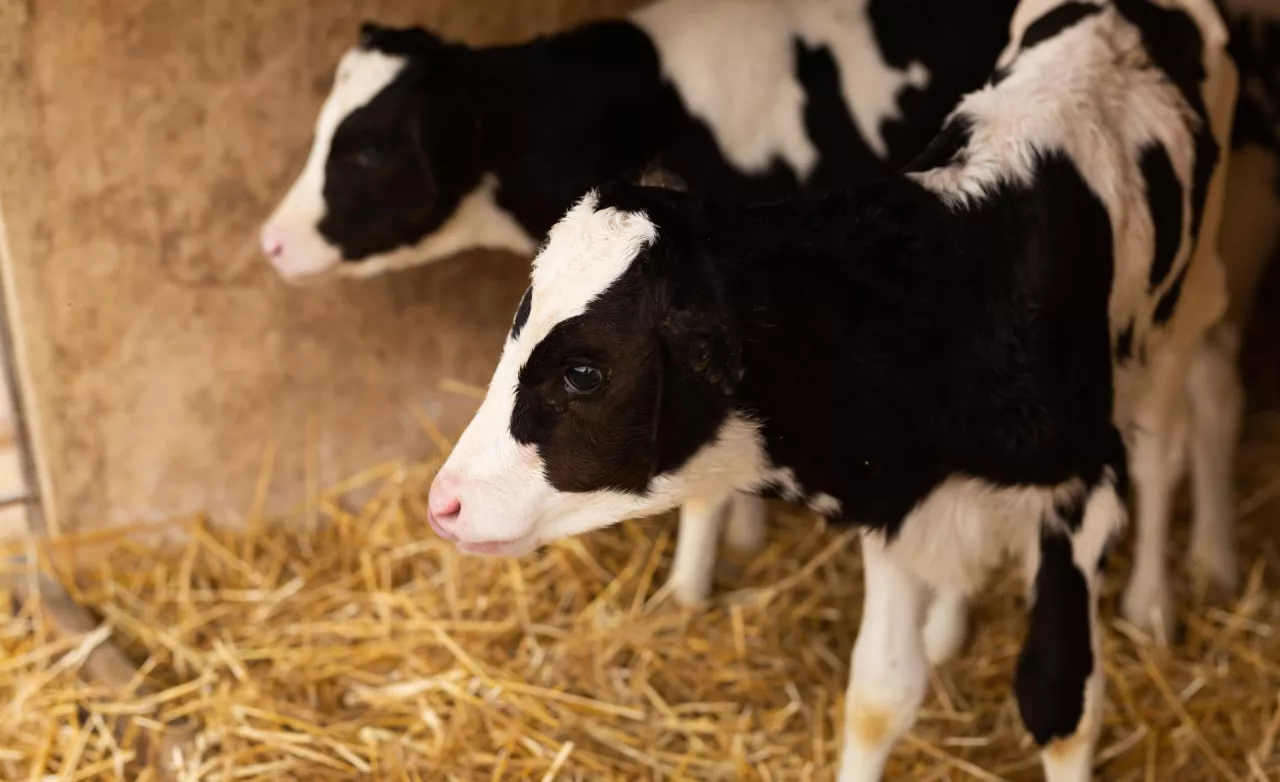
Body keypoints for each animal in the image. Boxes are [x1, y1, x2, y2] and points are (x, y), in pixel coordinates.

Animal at [423, 0, 1237, 778]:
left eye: (584, 374)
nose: (443, 502)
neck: (955, 293)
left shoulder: (1082, 492)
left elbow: (1059, 703)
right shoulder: (895, 500)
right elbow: (880, 695)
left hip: (1186, 302)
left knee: (1168, 443)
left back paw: (1154, 603)